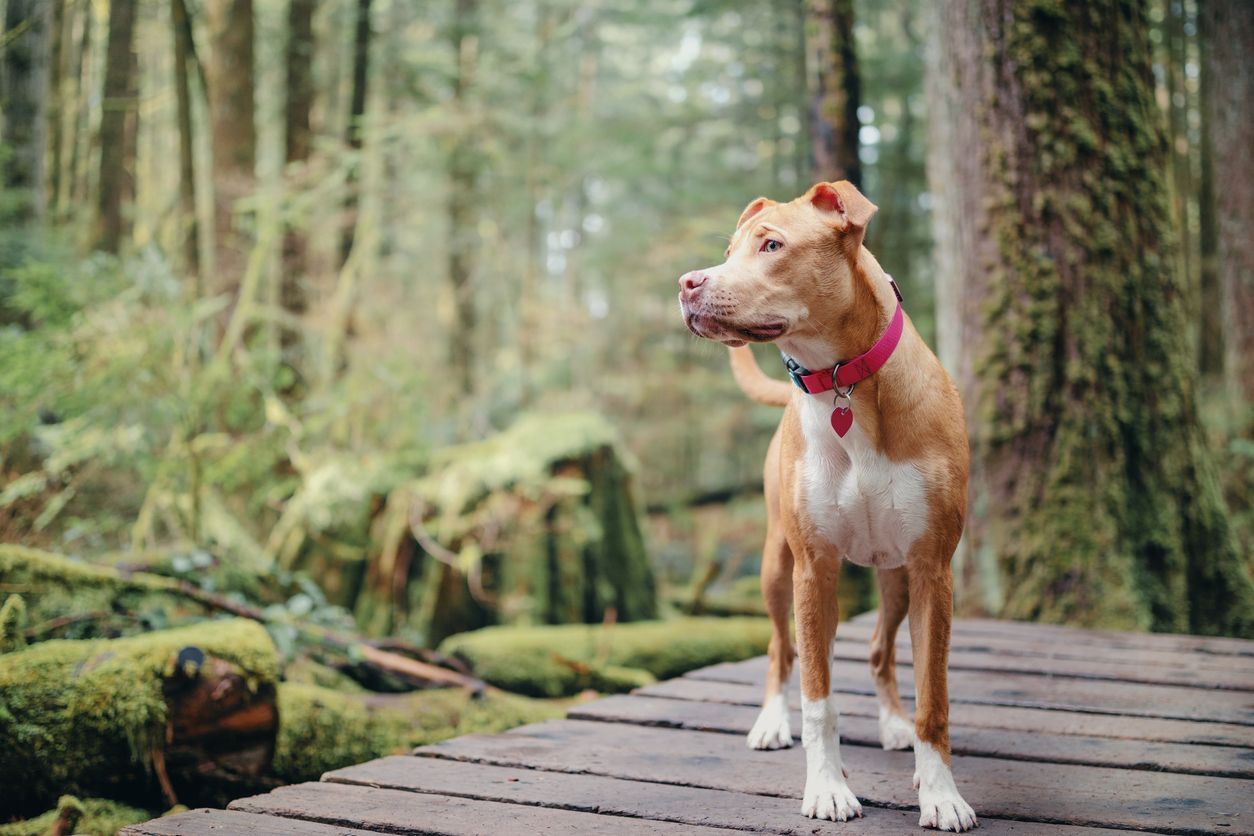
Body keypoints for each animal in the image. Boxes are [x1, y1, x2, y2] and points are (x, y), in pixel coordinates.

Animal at [682, 181, 973, 832]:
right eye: (730, 251)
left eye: (771, 246)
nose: (688, 282)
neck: (845, 383)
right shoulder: (814, 569)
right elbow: (819, 698)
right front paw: (827, 788)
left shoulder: (931, 570)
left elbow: (934, 698)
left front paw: (940, 792)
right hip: (775, 569)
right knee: (780, 649)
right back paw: (772, 722)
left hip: (894, 580)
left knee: (879, 652)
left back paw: (894, 728)